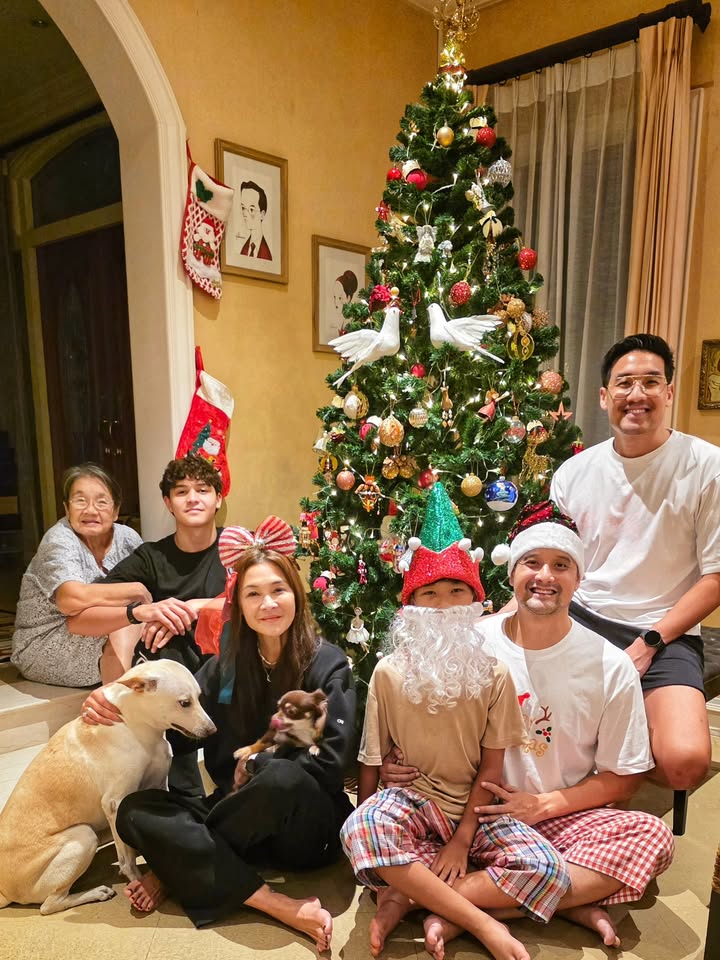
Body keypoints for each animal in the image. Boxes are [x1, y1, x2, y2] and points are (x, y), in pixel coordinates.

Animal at [0, 659, 215, 914]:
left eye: (199, 697)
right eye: (184, 703)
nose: (212, 730)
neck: (136, 725)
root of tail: (4, 890)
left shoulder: (157, 784)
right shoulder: (114, 803)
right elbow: (127, 859)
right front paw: (137, 880)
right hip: (83, 837)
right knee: (49, 905)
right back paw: (96, 893)